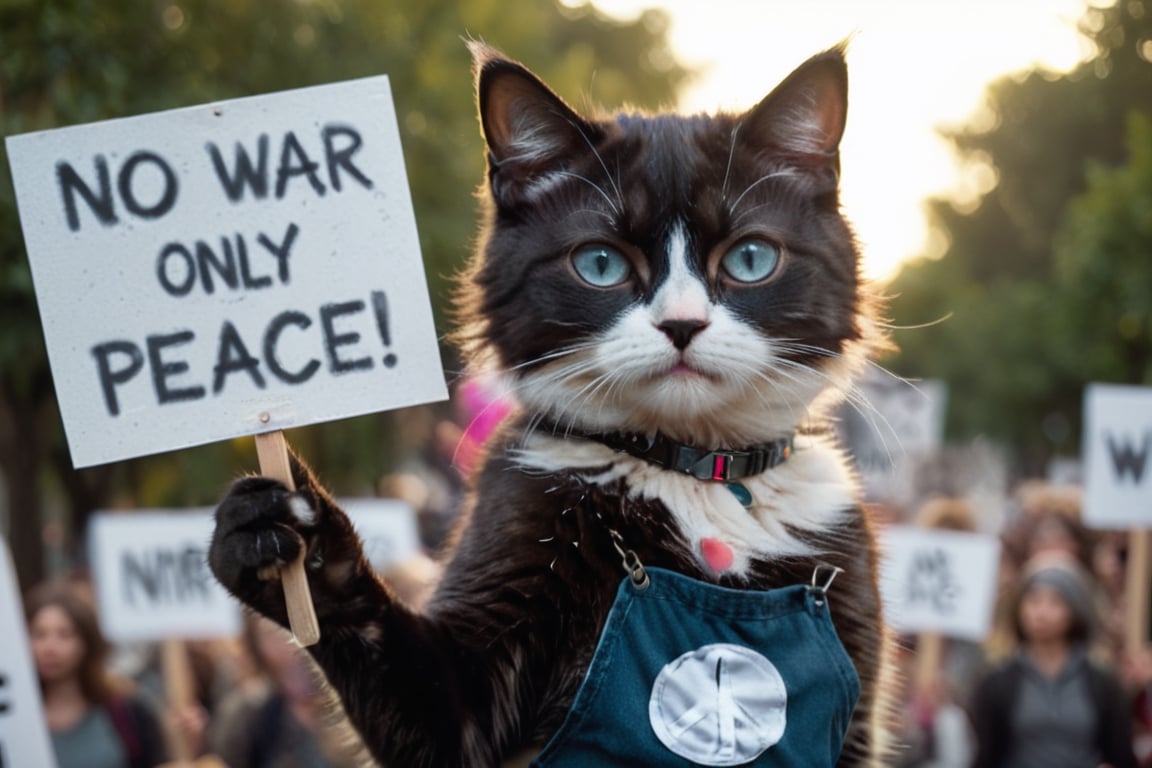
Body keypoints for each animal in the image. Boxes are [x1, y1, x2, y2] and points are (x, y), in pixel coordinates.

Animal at [209, 43, 889, 768]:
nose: (681, 324)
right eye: (600, 264)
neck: (693, 475)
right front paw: (283, 532)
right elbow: (431, 710)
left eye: (752, 257)